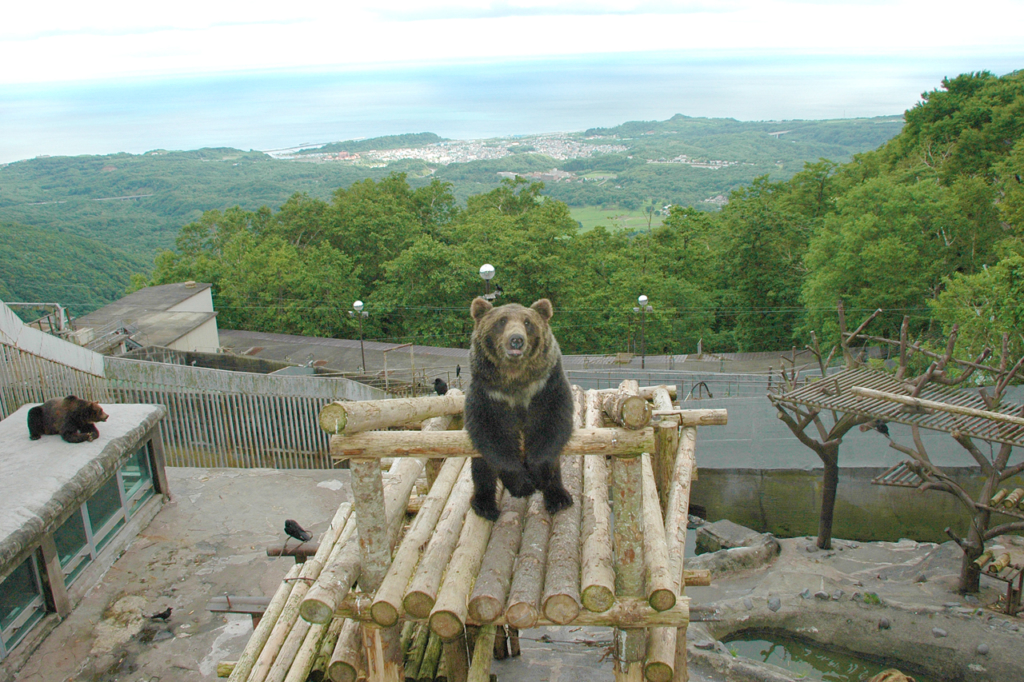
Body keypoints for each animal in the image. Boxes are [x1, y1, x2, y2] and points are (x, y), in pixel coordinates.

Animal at [464, 294, 577, 518]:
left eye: (527, 322)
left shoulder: (545, 384)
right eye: (501, 321)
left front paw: (539, 475)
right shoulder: (489, 392)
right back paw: (484, 504)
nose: (516, 339)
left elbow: (552, 422)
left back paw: (559, 497)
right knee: (481, 466)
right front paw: (521, 484)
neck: (515, 380)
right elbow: (491, 433)